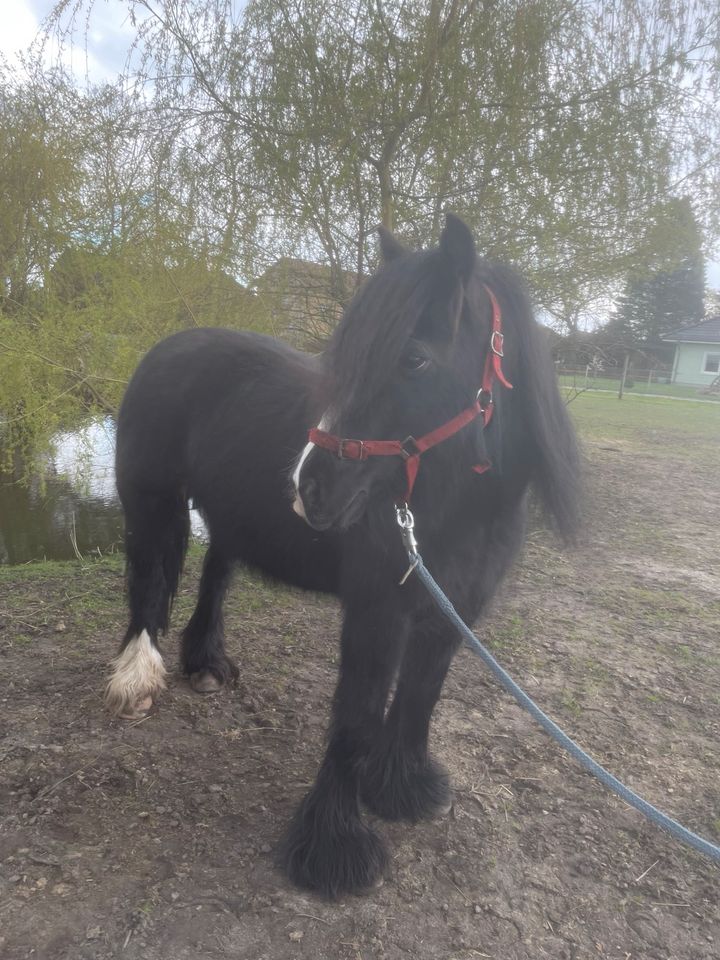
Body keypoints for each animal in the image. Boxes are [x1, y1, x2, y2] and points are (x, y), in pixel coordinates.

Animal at [108, 214, 580, 896]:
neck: (455, 509)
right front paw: (333, 850)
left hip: (227, 515)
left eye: (415, 358)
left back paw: (206, 663)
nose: (309, 487)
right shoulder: (378, 616)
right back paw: (136, 679)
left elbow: (418, 700)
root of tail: (167, 346)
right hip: (152, 504)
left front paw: (404, 790)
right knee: (148, 586)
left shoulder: (449, 617)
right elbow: (356, 718)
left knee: (215, 577)